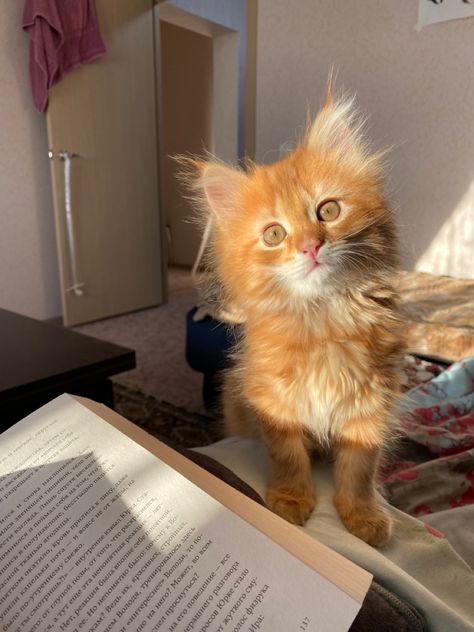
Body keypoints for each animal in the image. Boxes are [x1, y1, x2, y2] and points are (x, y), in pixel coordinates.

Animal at [185, 90, 404, 548]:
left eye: (329, 211)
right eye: (274, 234)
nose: (310, 246)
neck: (322, 322)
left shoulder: (372, 406)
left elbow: (360, 470)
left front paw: (363, 515)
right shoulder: (271, 402)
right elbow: (287, 456)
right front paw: (290, 499)